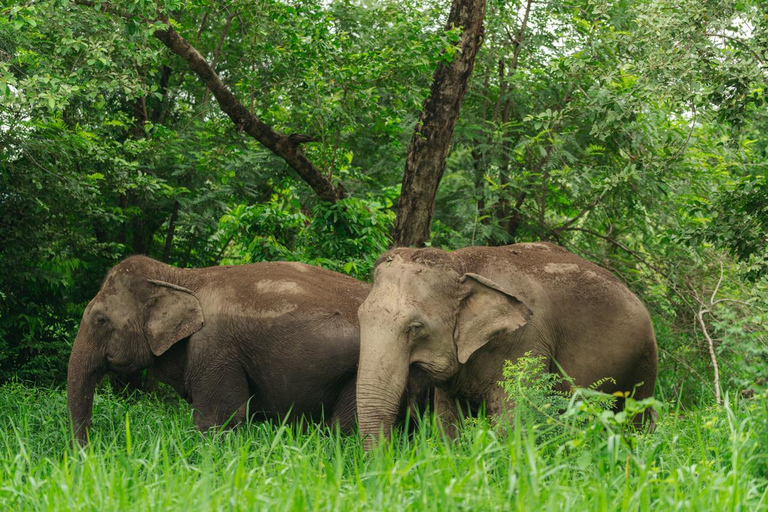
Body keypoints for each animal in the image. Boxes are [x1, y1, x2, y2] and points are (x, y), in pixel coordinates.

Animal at [68, 255, 373, 443]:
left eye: (101, 320)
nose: (88, 453)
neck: (180, 277)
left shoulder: (214, 348)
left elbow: (216, 419)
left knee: (344, 428)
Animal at [356, 242, 658, 448]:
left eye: (415, 328)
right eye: (359, 316)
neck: (461, 264)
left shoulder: (526, 340)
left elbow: (512, 418)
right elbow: (447, 421)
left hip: (642, 363)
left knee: (635, 417)